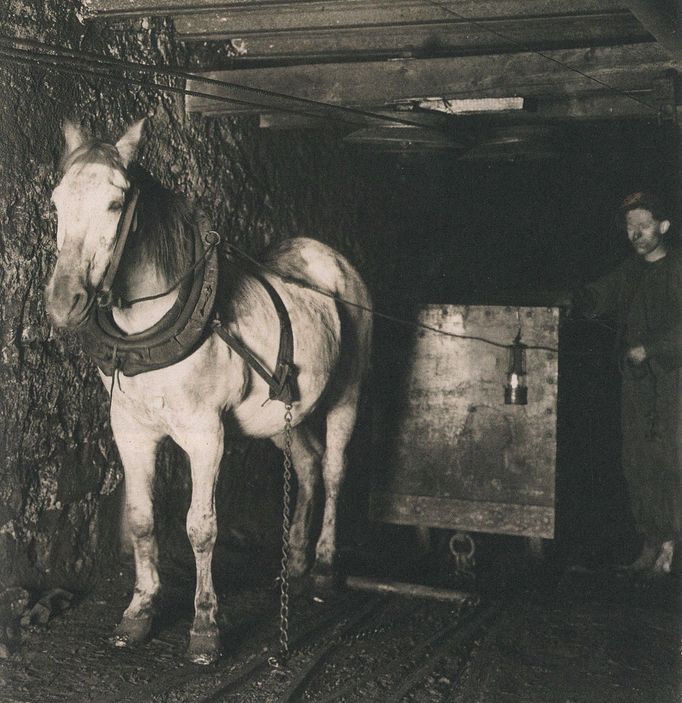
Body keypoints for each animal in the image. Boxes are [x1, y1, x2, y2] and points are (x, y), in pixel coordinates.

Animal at [43, 121, 372, 664]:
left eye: (116, 202)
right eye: (56, 200)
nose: (62, 302)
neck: (149, 325)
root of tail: (328, 256)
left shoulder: (205, 435)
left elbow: (201, 526)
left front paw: (204, 626)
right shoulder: (131, 430)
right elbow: (141, 519)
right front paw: (139, 611)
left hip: (348, 391)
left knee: (334, 469)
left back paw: (324, 567)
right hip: (283, 413)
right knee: (306, 465)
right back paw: (296, 561)